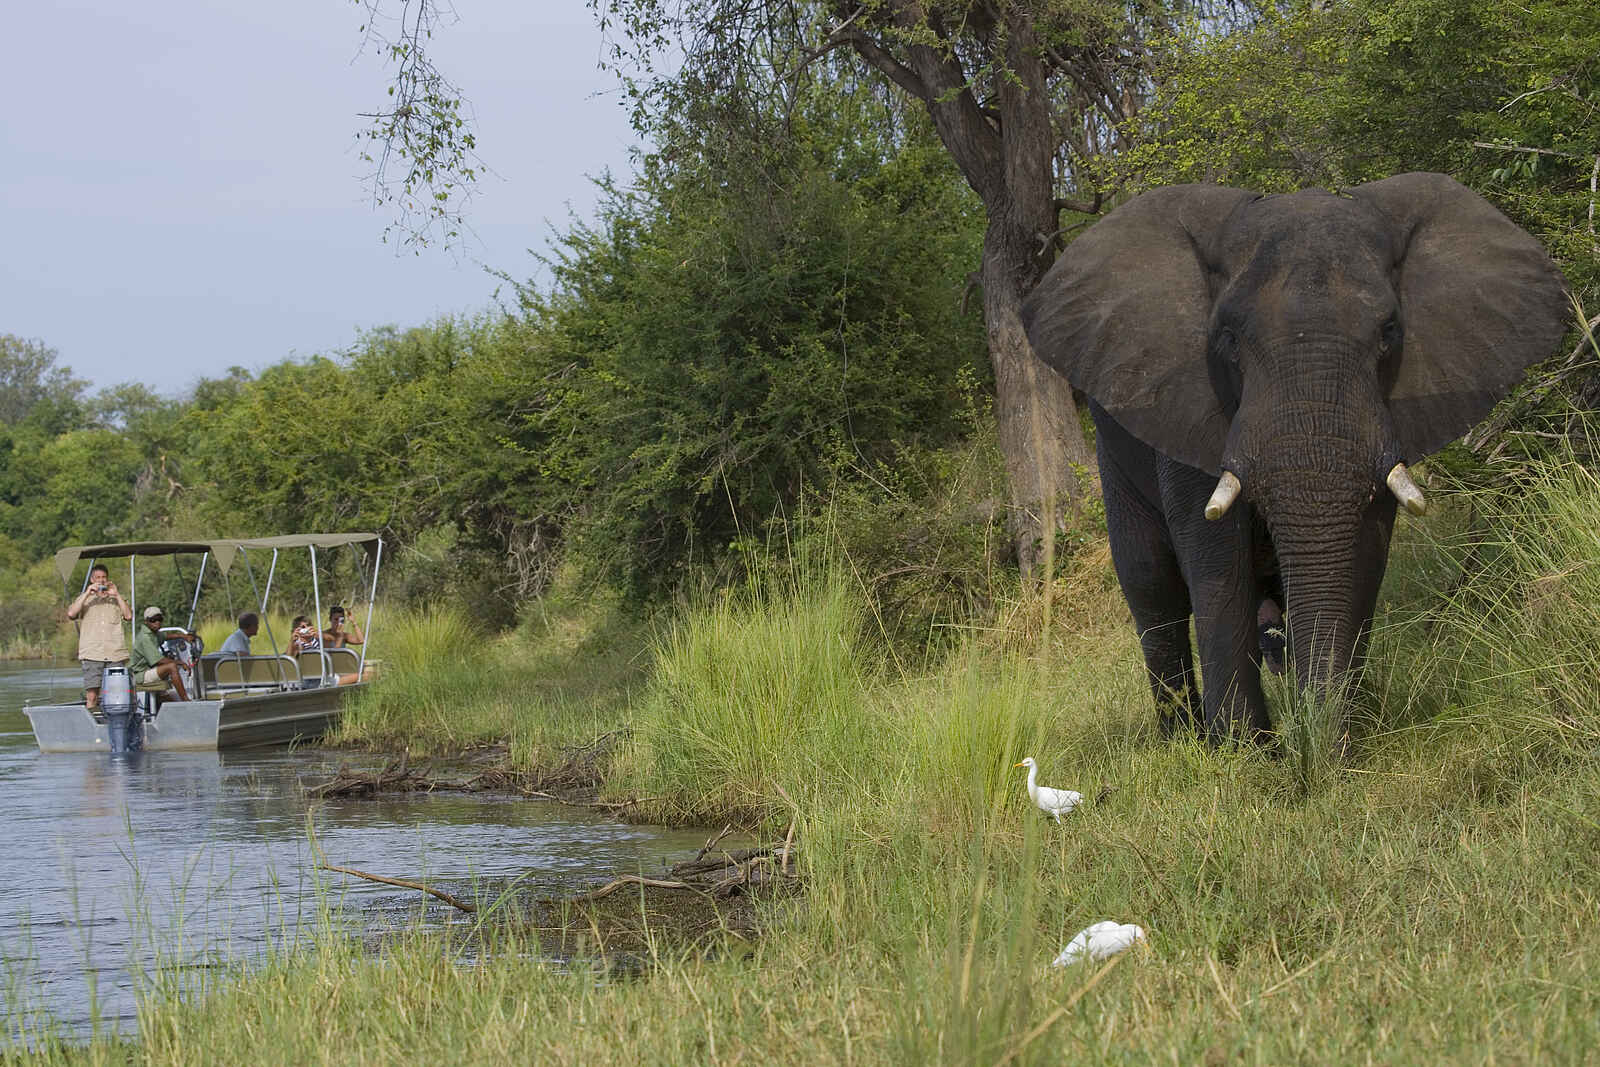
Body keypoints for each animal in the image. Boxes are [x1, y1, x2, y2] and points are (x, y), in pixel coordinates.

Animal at [1020, 172, 1569, 741]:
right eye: (1227, 337)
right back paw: (1181, 737)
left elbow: (1364, 555)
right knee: (1152, 584)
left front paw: (1347, 733)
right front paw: (1246, 751)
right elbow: (1216, 558)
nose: (1313, 744)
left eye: (1390, 331)